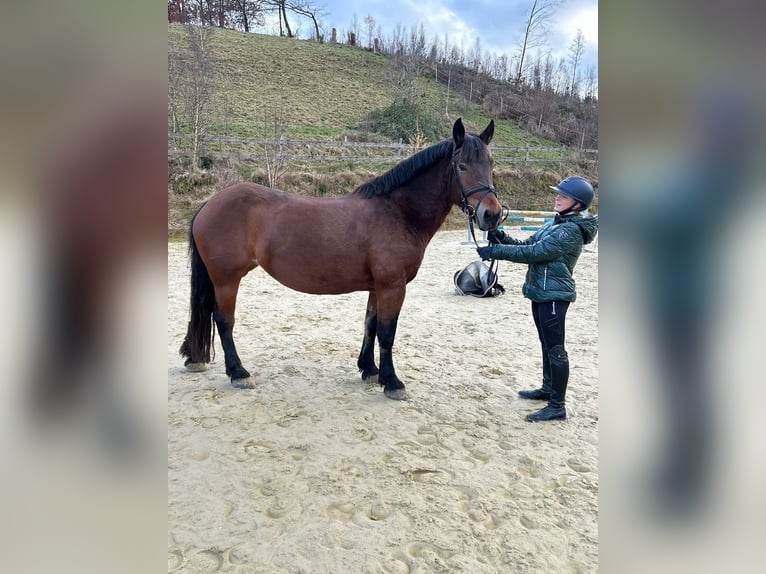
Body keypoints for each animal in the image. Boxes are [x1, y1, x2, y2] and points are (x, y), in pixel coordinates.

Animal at [182, 117, 504, 400]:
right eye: (462, 165)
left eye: (490, 164)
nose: (492, 214)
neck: (396, 212)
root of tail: (210, 203)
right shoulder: (393, 286)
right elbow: (387, 333)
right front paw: (392, 382)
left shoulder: (377, 287)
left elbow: (370, 326)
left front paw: (370, 370)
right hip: (226, 280)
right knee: (224, 321)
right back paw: (239, 373)